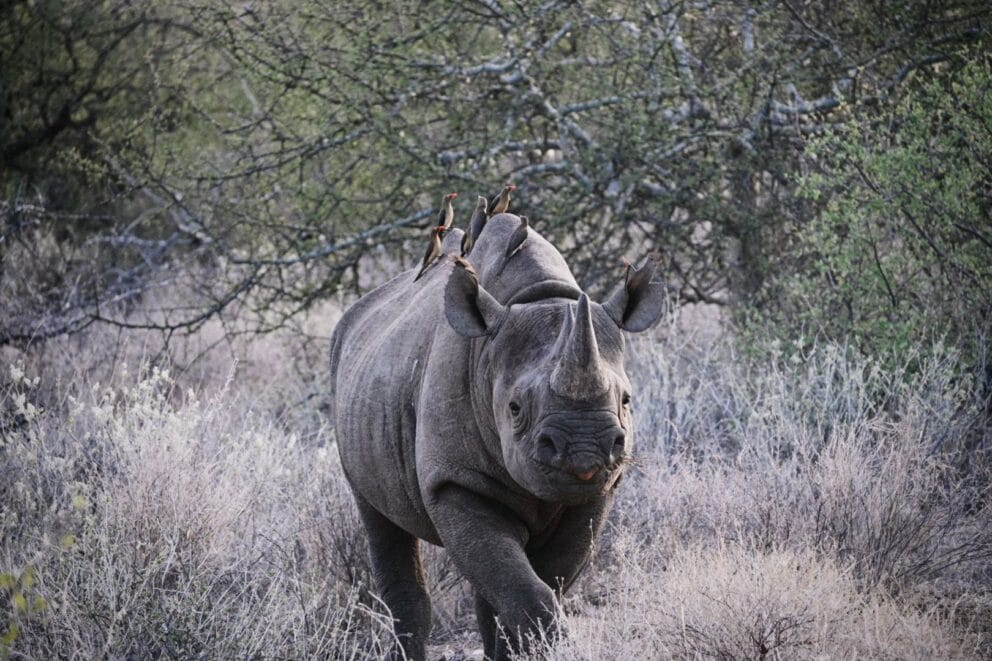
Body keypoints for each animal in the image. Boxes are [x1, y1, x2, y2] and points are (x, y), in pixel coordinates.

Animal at [329, 213, 664, 660]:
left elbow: (542, 582)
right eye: (515, 408)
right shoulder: (453, 481)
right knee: (380, 521)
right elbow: (526, 591)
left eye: (626, 400)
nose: (585, 451)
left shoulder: (598, 491)